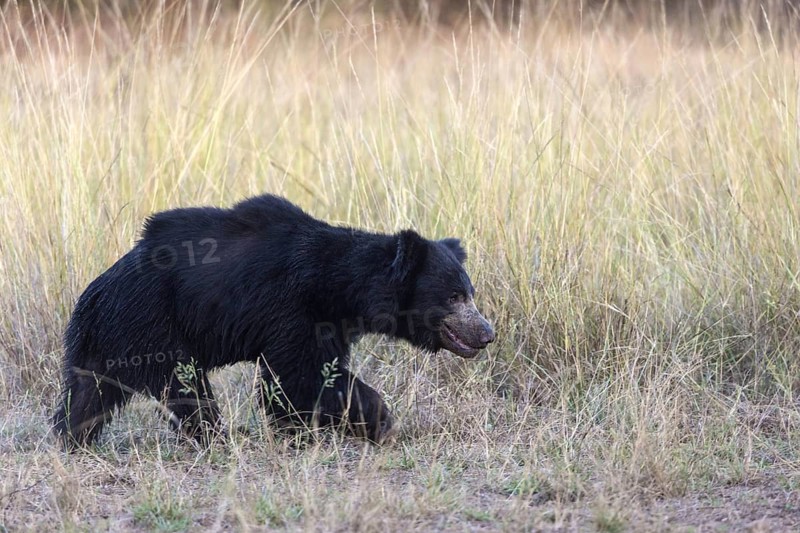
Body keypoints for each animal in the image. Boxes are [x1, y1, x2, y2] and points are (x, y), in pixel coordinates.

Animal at [53, 194, 495, 447]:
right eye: (454, 296)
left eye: (469, 292)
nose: (486, 333)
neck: (338, 286)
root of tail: (94, 294)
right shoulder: (290, 305)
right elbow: (302, 373)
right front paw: (378, 418)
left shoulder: (328, 320)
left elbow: (297, 377)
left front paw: (297, 429)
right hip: (153, 324)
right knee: (186, 387)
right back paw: (213, 436)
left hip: (107, 341)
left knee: (87, 394)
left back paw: (73, 437)